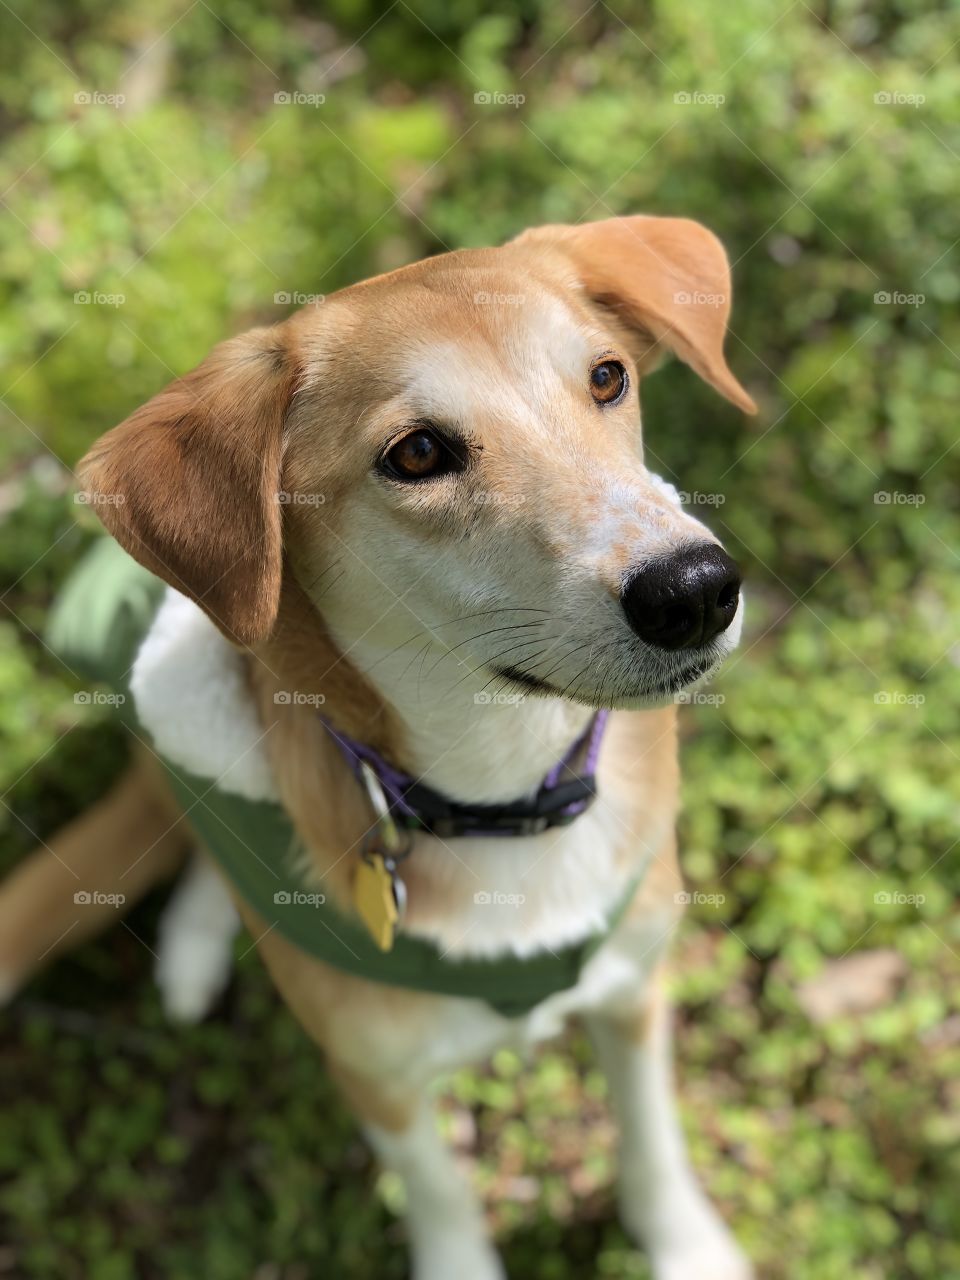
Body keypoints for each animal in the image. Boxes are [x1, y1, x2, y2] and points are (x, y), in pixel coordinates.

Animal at [0, 217, 757, 1280]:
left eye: (607, 377)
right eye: (418, 452)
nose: (693, 588)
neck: (501, 798)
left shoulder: (631, 988)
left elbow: (651, 1137)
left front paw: (685, 1246)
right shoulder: (377, 1077)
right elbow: (439, 1193)